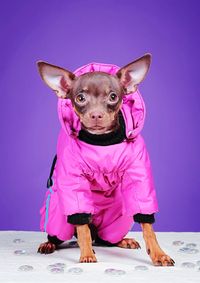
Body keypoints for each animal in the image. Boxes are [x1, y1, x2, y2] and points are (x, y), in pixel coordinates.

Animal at [36, 54, 174, 268]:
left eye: (113, 97)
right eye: (80, 98)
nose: (96, 114)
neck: (102, 143)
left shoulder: (139, 175)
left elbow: (148, 227)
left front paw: (159, 254)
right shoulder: (74, 182)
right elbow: (82, 227)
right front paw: (86, 254)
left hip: (117, 220)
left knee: (105, 238)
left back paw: (123, 240)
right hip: (58, 219)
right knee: (70, 233)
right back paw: (50, 244)